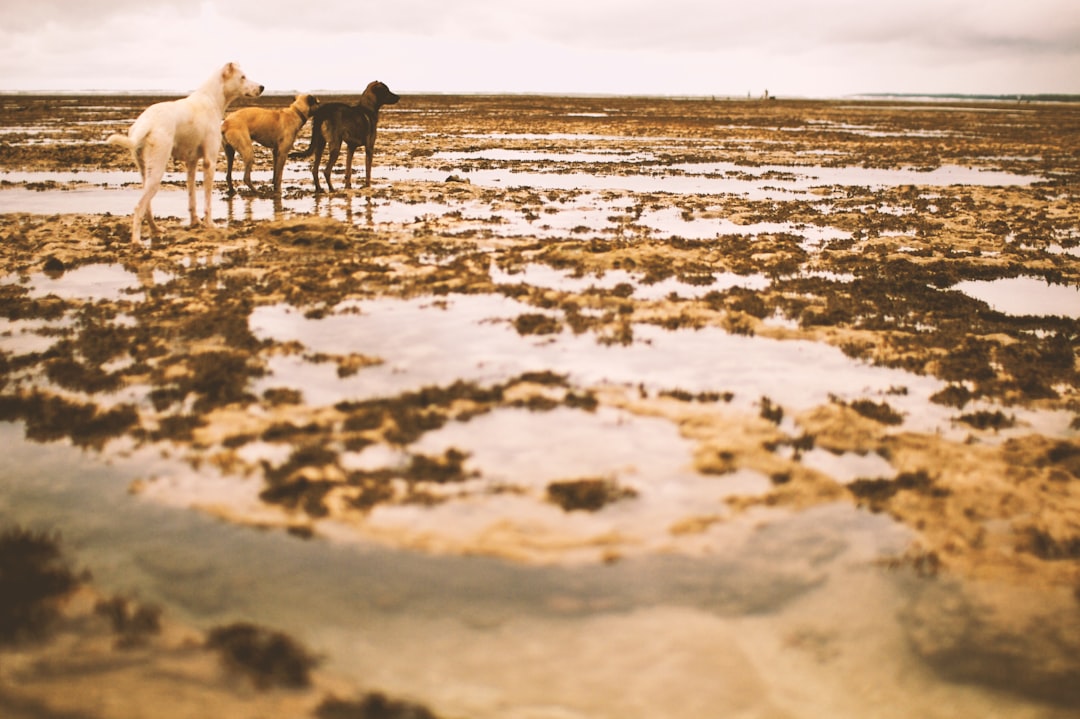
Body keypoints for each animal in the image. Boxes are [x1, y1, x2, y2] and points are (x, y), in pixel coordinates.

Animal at [106, 60, 262, 243]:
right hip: (157, 169)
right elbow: (207, 200)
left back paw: (156, 229)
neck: (212, 99)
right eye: (243, 77)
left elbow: (192, 197)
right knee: (139, 207)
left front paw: (195, 223)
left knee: (147, 207)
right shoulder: (210, 162)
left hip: (145, 170)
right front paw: (210, 224)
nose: (262, 87)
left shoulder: (191, 163)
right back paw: (137, 242)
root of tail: (146, 122)